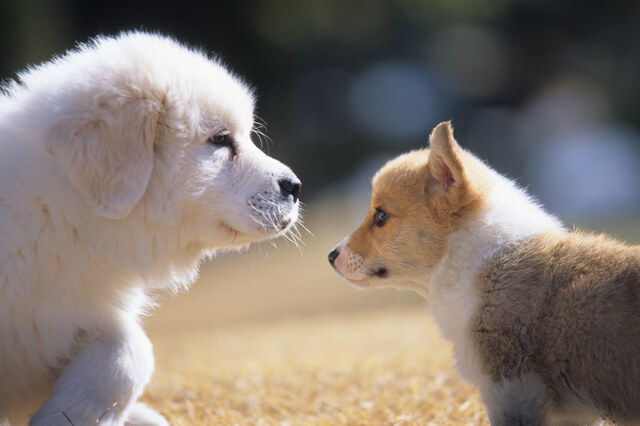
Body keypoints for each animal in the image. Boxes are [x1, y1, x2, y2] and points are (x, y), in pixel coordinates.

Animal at [0, 31, 302, 424]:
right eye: (220, 139)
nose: (295, 187)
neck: (56, 208)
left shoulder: (72, 313)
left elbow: (131, 351)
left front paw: (68, 414)